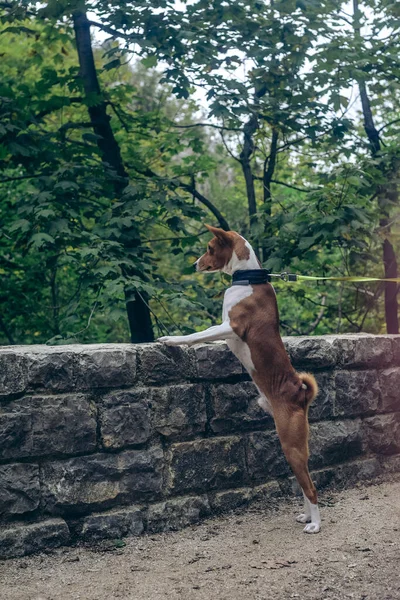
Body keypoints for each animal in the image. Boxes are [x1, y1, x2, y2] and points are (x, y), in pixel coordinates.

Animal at [158, 225, 320, 536]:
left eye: (209, 248)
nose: (194, 265)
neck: (248, 279)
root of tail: (300, 394)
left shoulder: (230, 327)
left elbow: (197, 334)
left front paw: (172, 339)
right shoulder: (226, 329)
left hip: (291, 444)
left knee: (311, 487)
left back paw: (316, 523)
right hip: (295, 448)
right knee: (303, 481)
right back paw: (306, 517)